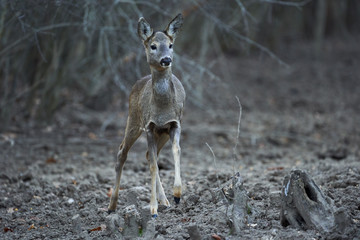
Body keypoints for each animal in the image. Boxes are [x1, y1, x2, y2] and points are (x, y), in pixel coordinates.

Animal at [107, 13, 186, 219]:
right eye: (153, 46)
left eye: (171, 44)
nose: (166, 59)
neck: (162, 108)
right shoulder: (149, 126)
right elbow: (152, 166)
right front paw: (152, 209)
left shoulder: (175, 123)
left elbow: (176, 151)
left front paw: (177, 194)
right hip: (134, 120)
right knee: (123, 152)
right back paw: (112, 206)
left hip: (161, 133)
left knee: (150, 155)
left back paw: (165, 201)